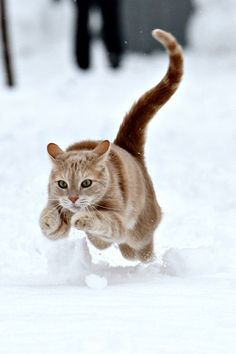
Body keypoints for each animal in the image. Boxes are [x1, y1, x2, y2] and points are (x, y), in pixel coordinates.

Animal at [39, 29, 183, 262]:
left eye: (86, 183)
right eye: (62, 184)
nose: (72, 198)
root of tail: (126, 146)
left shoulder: (116, 223)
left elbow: (101, 223)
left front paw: (83, 219)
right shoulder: (54, 202)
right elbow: (49, 219)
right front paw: (50, 218)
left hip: (140, 234)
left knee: (141, 249)